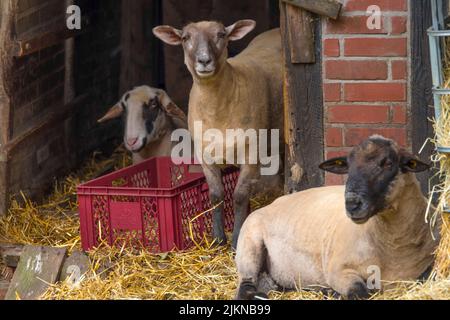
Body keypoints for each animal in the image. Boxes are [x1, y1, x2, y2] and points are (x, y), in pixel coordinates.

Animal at [236, 136, 440, 300]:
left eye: (388, 164)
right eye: (348, 166)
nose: (351, 203)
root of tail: (272, 203)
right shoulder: (338, 270)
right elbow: (359, 293)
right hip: (249, 247)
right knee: (245, 286)